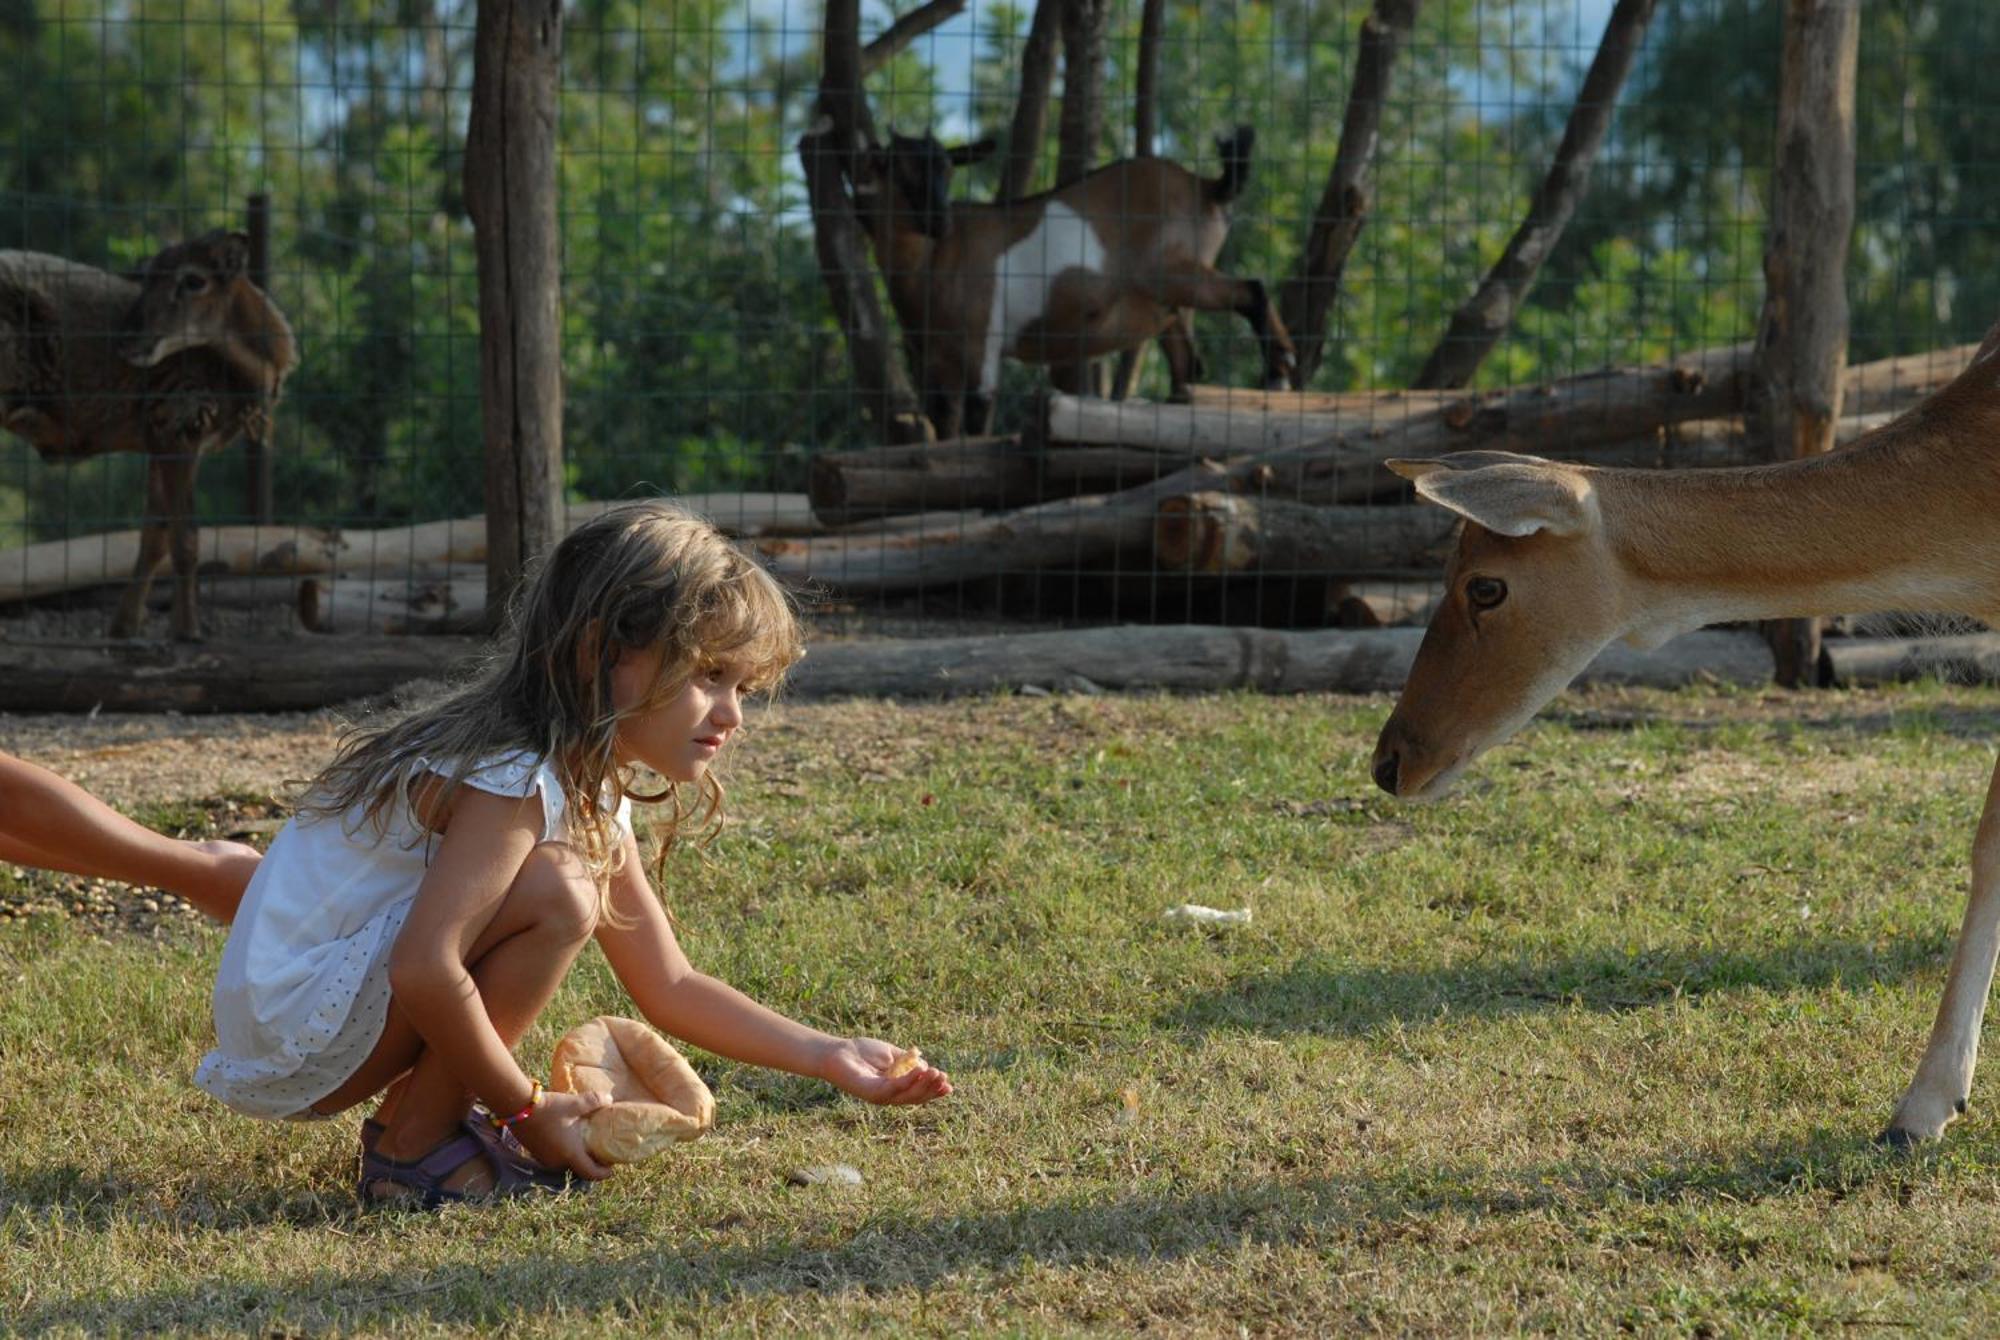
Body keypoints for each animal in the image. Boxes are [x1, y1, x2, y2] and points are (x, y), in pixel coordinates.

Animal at [0, 232, 300, 644]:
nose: (126, 341)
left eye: (194, 280)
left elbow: (154, 539)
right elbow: (185, 539)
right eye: (145, 279)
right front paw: (187, 630)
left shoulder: (163, 440)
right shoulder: (179, 420)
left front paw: (124, 626)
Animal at [844, 126, 1296, 440]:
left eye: (947, 169)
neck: (935, 259)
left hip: (1172, 271)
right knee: (1187, 363)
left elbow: (976, 416)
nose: (940, 219)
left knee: (1251, 290)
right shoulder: (935, 358)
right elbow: (943, 422)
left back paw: (1279, 371)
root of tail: (1205, 186)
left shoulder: (980, 341)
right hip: (1169, 303)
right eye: (896, 169)